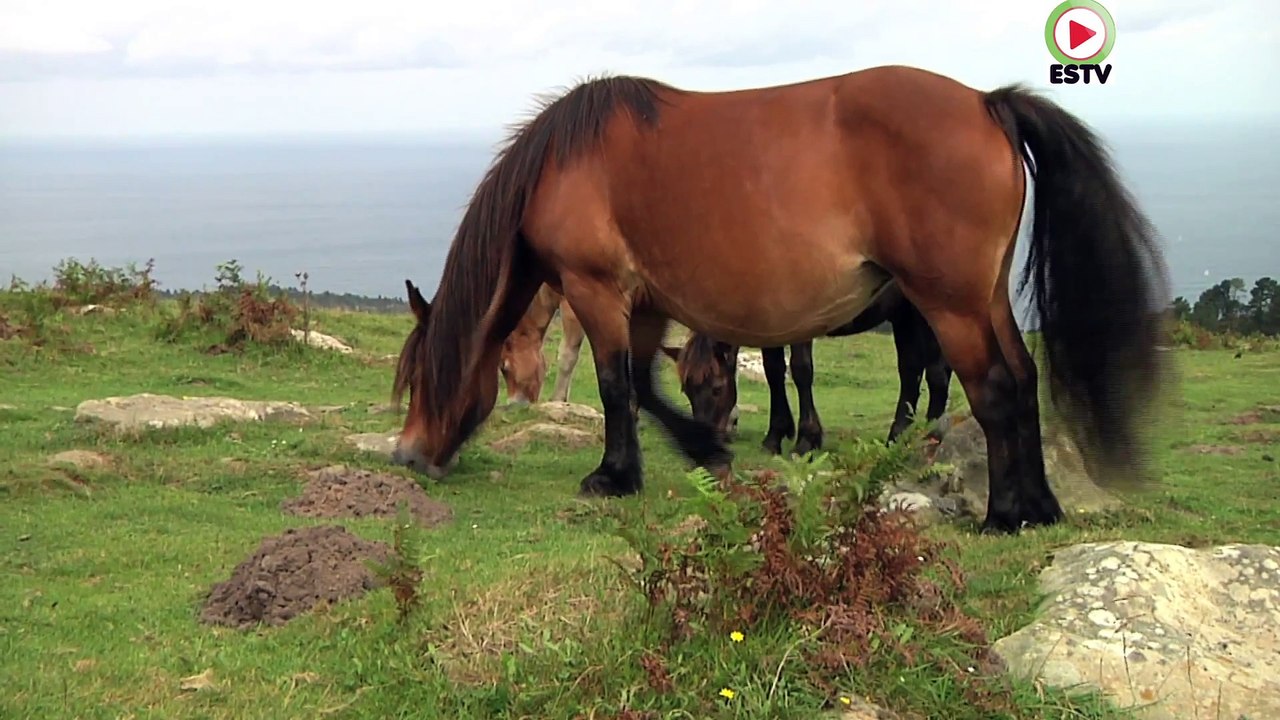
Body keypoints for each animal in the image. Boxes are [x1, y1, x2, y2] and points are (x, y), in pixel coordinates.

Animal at [663, 282, 952, 455]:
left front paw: (806, 440)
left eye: (717, 388)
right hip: (903, 315)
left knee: (928, 372)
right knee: (919, 370)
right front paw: (775, 437)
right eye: (687, 391)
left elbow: (801, 371)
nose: (703, 445)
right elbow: (773, 371)